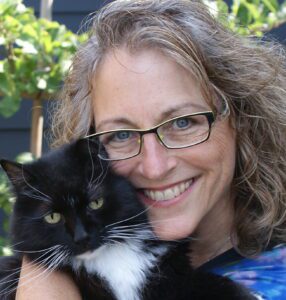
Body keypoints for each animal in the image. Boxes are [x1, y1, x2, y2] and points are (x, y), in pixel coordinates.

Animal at [0, 140, 255, 300]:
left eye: (95, 203)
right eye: (53, 217)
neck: (111, 260)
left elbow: (214, 283)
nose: (82, 237)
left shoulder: (173, 276)